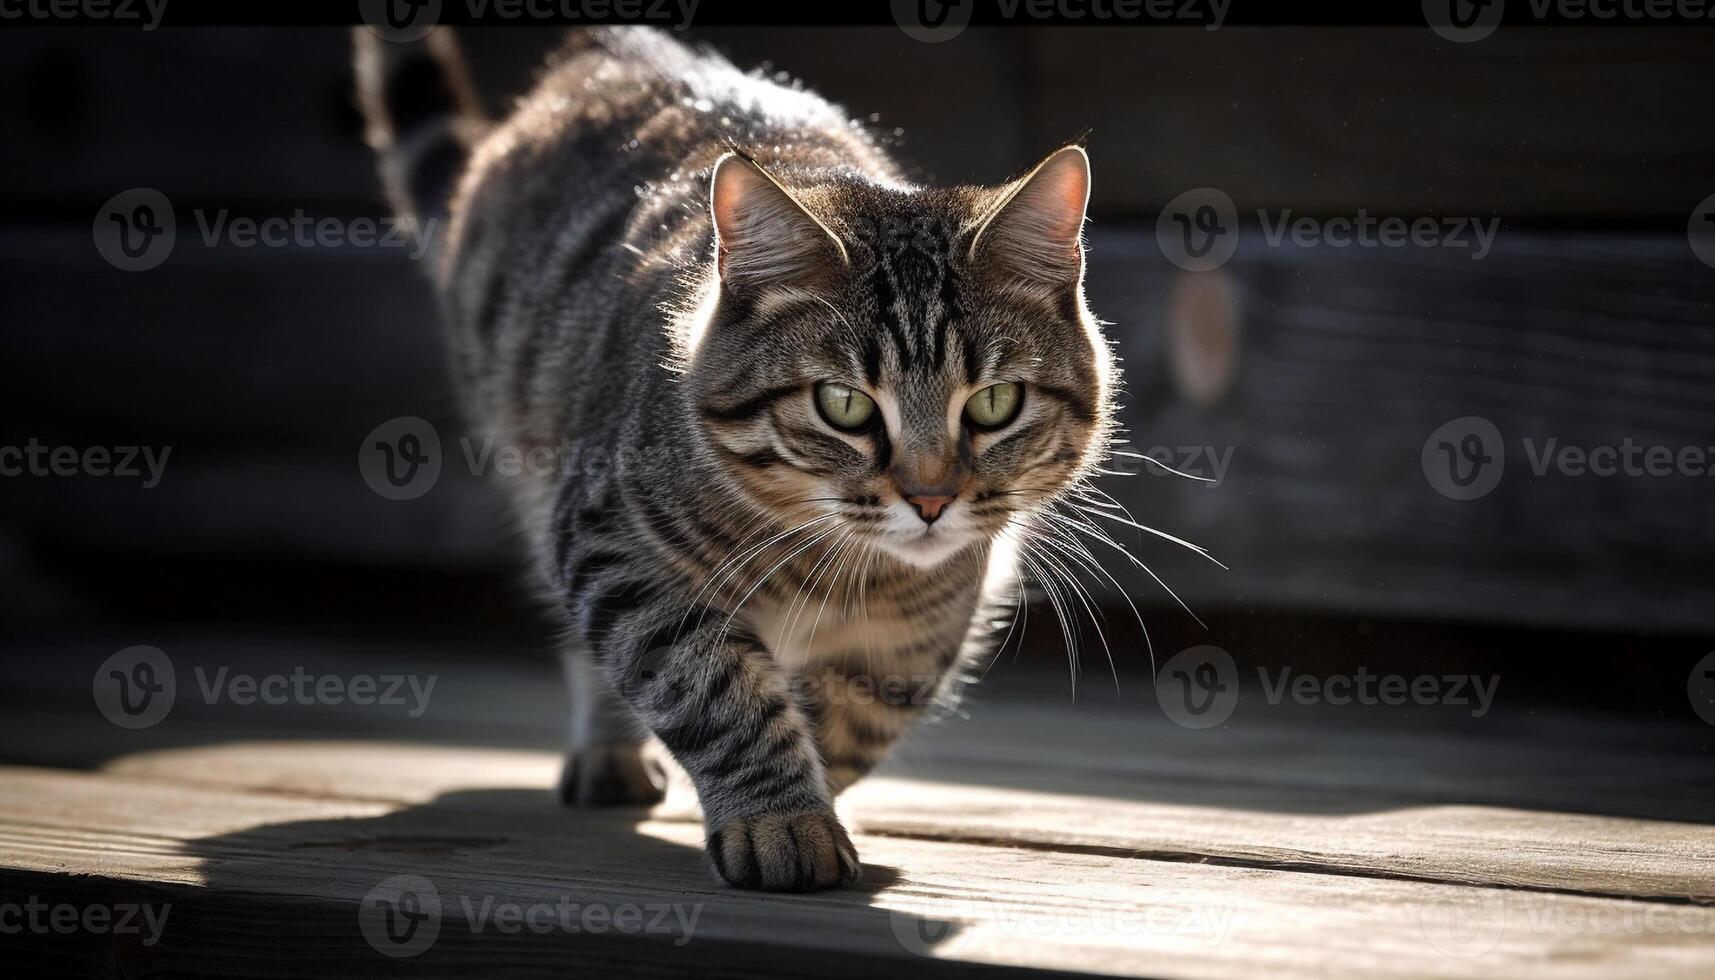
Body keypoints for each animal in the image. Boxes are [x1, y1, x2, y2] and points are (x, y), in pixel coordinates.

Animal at [355, 28, 1118, 892]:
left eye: (994, 404)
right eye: (842, 404)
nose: (929, 499)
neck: (838, 570)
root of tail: (603, 49)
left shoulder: (916, 633)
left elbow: (851, 721)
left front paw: (818, 798)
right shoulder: (615, 549)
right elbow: (719, 694)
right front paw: (780, 818)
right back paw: (608, 752)